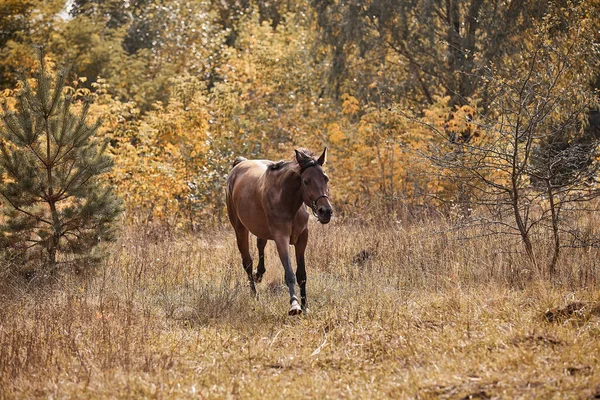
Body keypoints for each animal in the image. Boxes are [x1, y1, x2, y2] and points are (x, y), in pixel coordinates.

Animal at [227, 148, 336, 316]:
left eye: (326, 178)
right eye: (306, 181)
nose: (325, 212)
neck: (287, 201)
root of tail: (240, 164)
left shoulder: (302, 238)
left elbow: (301, 274)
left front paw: (305, 306)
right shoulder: (281, 238)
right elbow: (289, 273)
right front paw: (295, 306)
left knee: (260, 244)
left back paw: (259, 274)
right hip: (240, 229)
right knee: (247, 262)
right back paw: (254, 295)